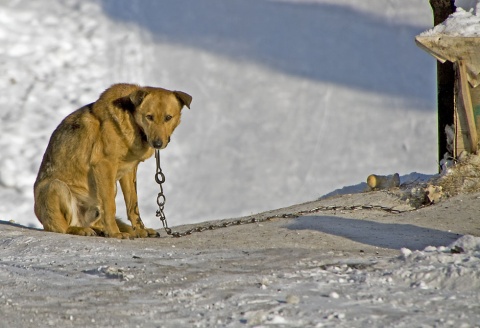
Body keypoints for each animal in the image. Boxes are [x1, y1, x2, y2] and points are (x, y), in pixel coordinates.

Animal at [33, 83, 191, 238]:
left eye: (168, 117)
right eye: (149, 117)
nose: (157, 144)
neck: (132, 120)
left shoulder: (129, 171)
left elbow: (133, 205)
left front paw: (140, 230)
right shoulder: (104, 166)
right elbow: (110, 206)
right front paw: (115, 233)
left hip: (108, 188)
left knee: (95, 220)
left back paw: (100, 230)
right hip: (55, 186)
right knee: (62, 226)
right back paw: (82, 230)